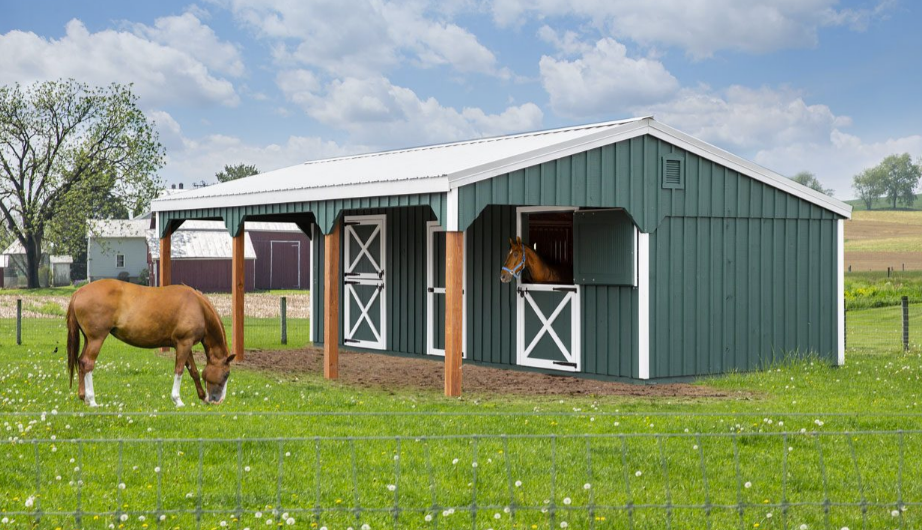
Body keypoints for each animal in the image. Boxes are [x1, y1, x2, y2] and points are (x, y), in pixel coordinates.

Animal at [66, 279, 235, 407]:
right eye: (226, 374)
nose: (218, 400)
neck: (198, 307)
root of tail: (78, 293)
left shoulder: (185, 345)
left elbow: (193, 371)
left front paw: (202, 396)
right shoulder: (184, 344)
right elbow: (179, 370)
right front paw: (177, 400)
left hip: (88, 339)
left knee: (81, 362)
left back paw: (83, 397)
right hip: (96, 339)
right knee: (88, 363)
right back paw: (92, 400)